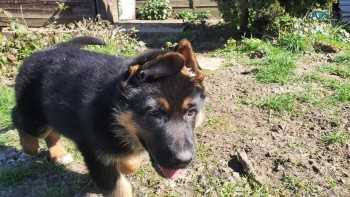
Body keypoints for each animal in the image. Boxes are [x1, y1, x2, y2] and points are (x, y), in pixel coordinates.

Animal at [12, 36, 205, 196]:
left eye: (191, 112)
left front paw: (124, 166)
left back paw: (58, 154)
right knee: (18, 117)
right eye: (154, 113)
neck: (114, 112)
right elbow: (118, 189)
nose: (183, 161)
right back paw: (30, 147)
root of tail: (47, 49)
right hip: (35, 119)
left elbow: (131, 163)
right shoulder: (96, 156)